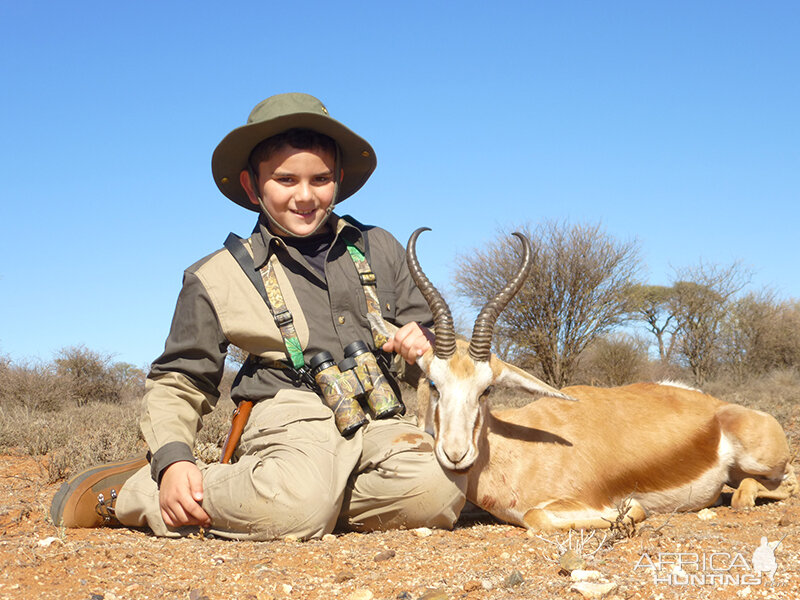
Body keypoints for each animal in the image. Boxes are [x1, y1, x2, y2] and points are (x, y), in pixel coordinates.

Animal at [400, 229, 792, 528]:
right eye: (434, 384)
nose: (455, 454)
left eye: (486, 390)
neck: (514, 450)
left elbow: (541, 517)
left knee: (780, 485)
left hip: (760, 463)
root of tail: (720, 407)